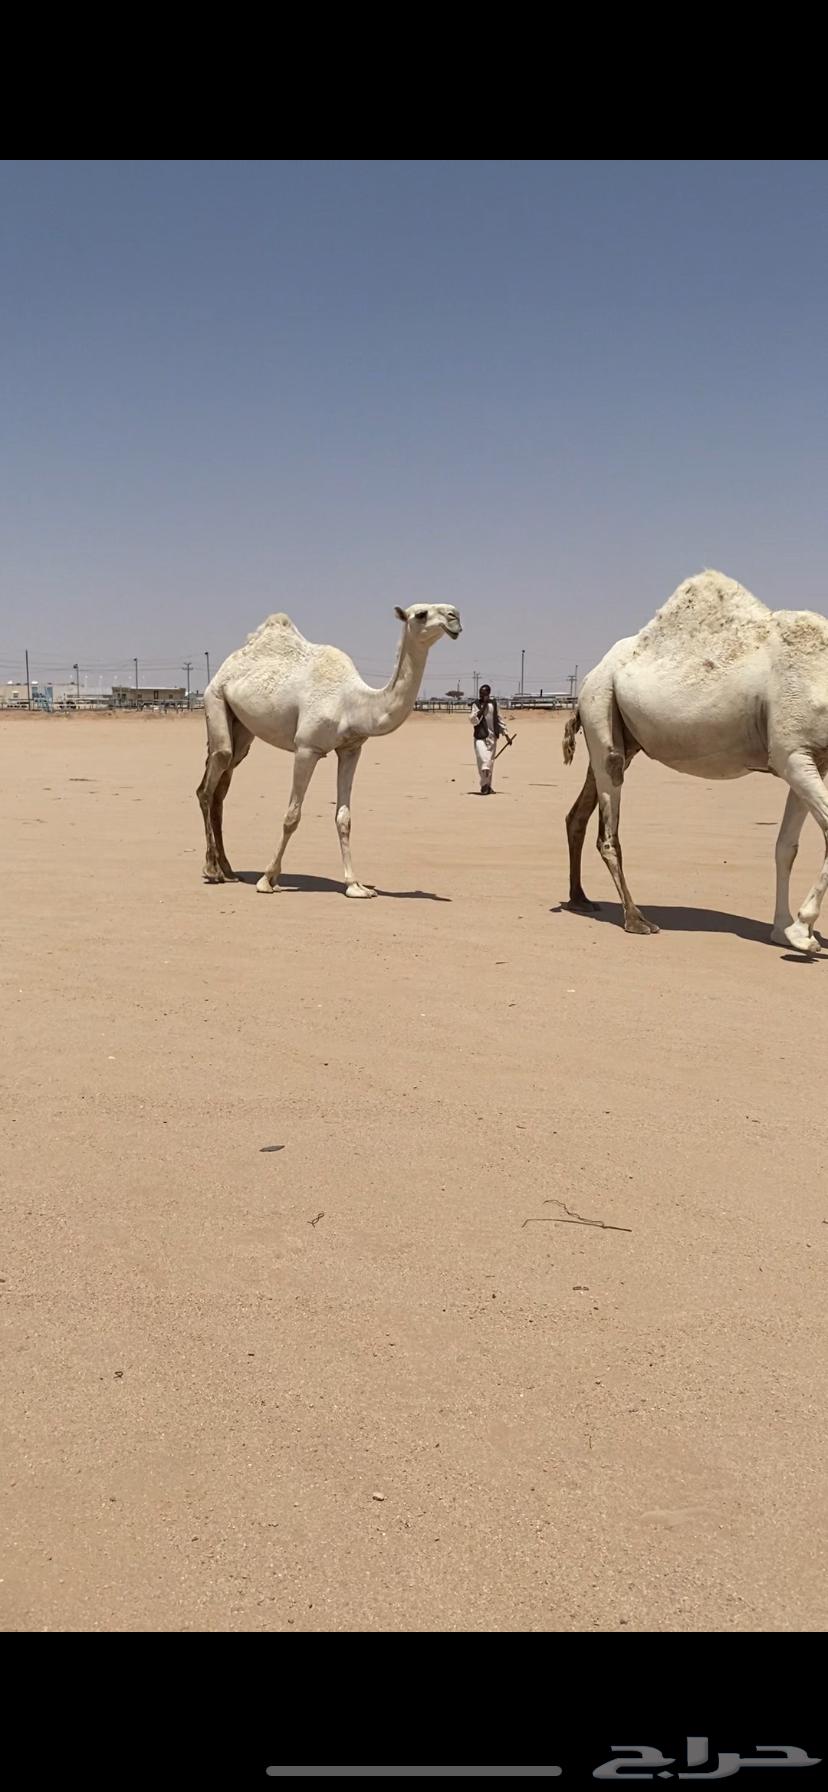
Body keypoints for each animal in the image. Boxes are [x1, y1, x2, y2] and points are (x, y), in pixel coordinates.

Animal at [197, 602, 462, 896]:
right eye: (421, 614)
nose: (455, 617)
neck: (351, 703)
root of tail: (227, 665)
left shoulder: (351, 749)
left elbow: (344, 818)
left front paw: (355, 885)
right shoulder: (306, 747)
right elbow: (292, 815)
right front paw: (267, 879)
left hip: (242, 727)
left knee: (222, 783)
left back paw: (228, 870)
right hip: (215, 698)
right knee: (211, 779)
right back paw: (212, 871)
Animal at [563, 570, 828, 954]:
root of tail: (589, 676)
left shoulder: (812, 758)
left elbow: (785, 848)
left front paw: (785, 931)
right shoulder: (791, 753)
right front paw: (802, 929)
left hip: (617, 736)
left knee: (577, 814)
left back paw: (580, 899)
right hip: (601, 706)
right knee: (608, 833)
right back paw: (636, 919)